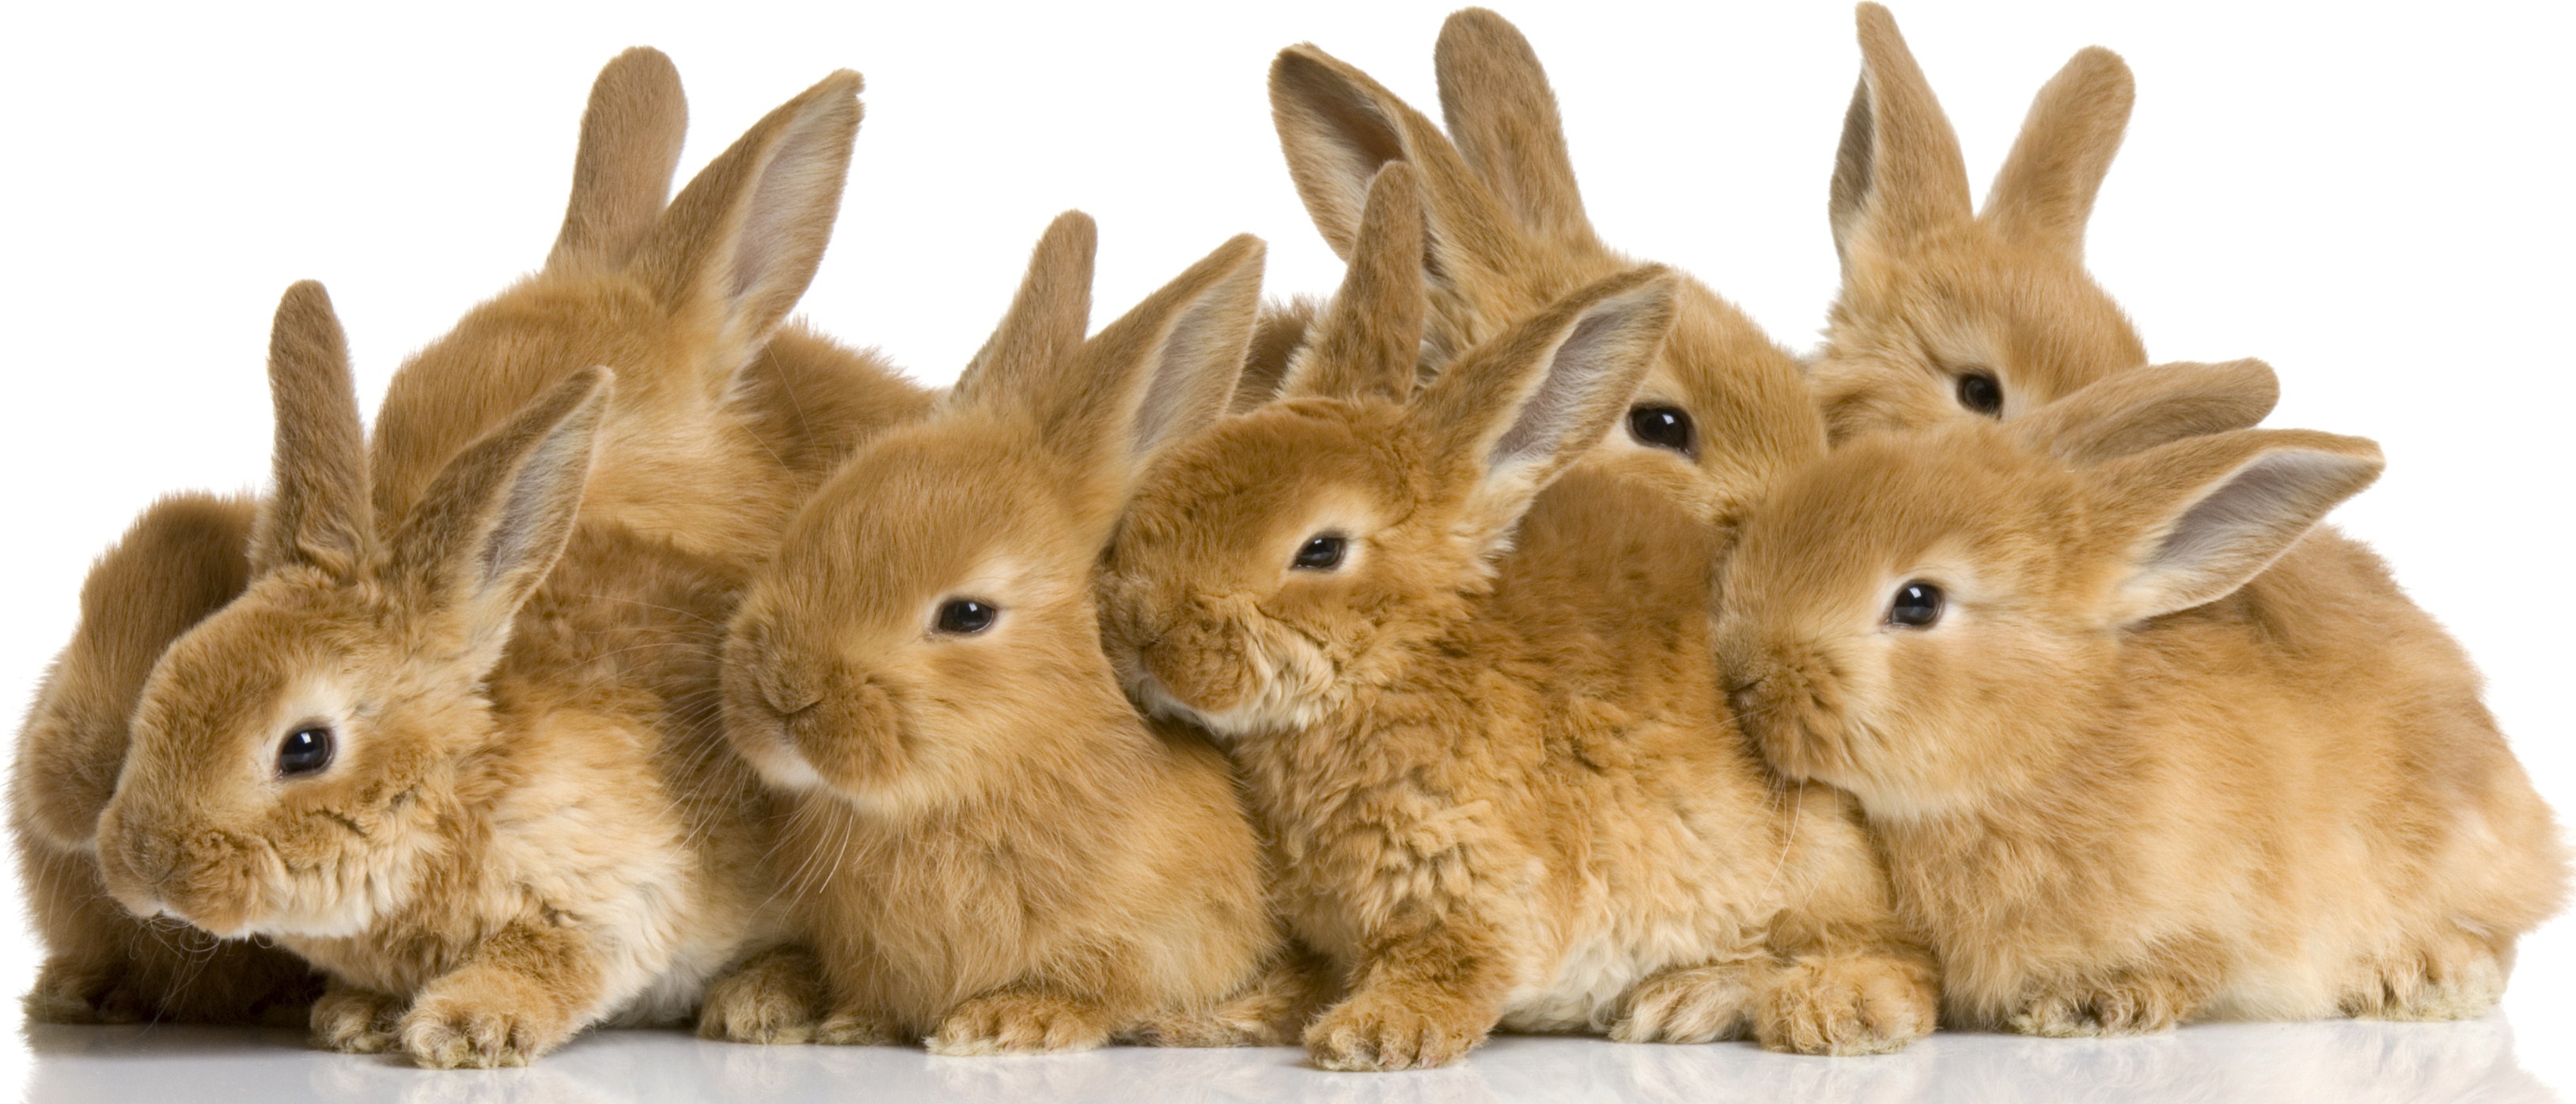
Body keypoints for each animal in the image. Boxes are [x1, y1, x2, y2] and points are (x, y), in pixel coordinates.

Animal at [90, 282, 803, 1068]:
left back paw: (759, 1004)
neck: (458, 796)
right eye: (167, 675)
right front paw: (355, 1018)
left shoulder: (612, 896)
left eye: (305, 748)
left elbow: (547, 962)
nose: (143, 869)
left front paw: (463, 1028)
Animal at [715, 211, 1318, 1055]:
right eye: (806, 525)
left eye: (967, 615)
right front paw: (797, 1010)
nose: (781, 694)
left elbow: (1107, 990)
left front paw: (1010, 1021)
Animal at [1095, 163, 1937, 1072]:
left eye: (1320, 550)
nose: (1142, 636)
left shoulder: (1469, 885)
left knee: (1897, 963)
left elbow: (1451, 966)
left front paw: (1377, 1034)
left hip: (1814, 866)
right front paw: (1213, 1018)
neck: (1399, 665)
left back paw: (1768, 1004)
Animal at [1712, 360, 2567, 1035]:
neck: (2050, 736)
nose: (1744, 673)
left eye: (1918, 603)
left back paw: (2416, 979)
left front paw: (2094, 1004)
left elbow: (2194, 960)